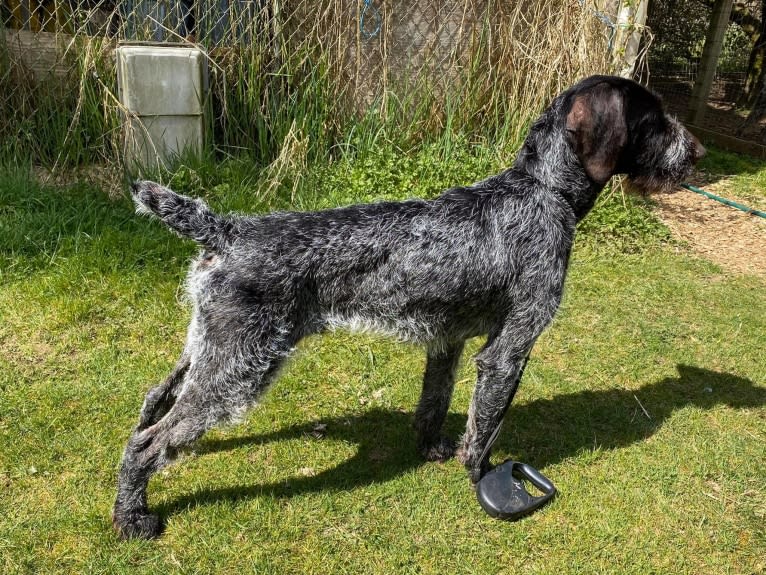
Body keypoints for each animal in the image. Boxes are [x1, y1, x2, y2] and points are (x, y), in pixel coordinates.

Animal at [111, 74, 704, 536]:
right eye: (654, 118)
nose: (697, 151)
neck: (542, 190)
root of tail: (228, 230)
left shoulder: (450, 340)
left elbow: (435, 403)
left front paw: (431, 448)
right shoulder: (509, 349)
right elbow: (487, 426)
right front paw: (482, 479)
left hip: (209, 350)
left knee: (153, 403)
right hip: (240, 368)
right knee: (147, 443)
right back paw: (132, 519)